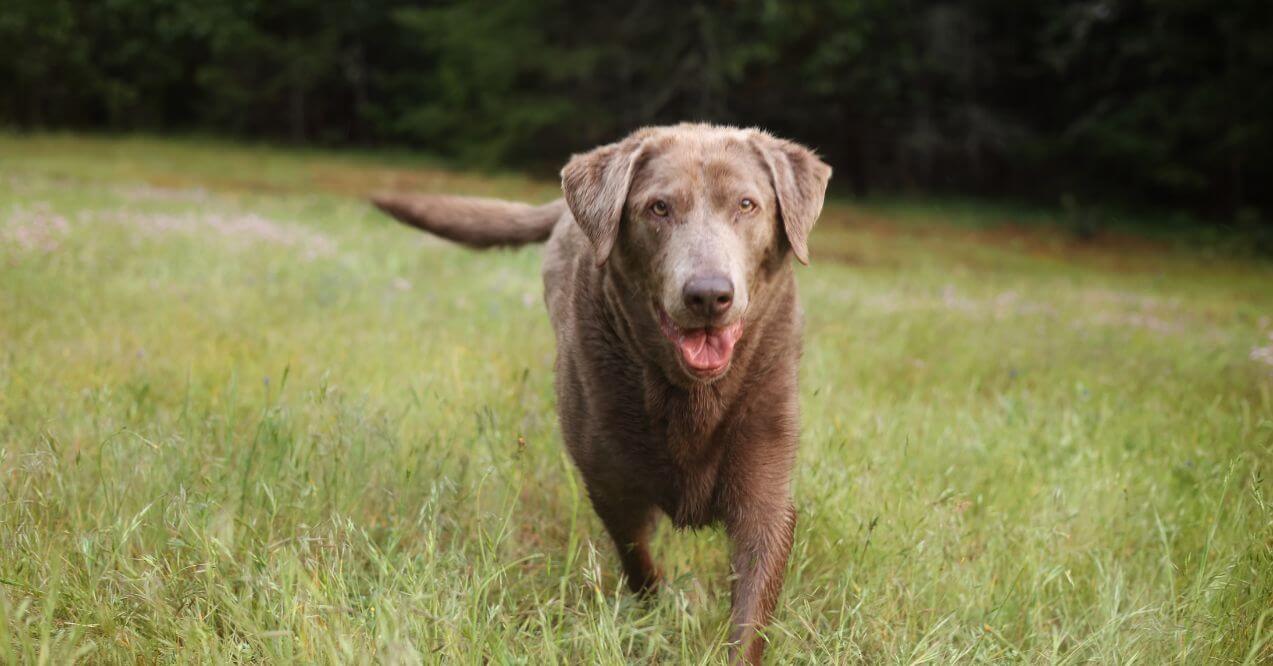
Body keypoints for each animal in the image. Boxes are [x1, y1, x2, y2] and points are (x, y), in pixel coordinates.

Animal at [374, 123, 835, 662]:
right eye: (659, 208)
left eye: (746, 204)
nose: (708, 294)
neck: (689, 397)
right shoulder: (609, 482)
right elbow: (638, 557)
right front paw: (655, 617)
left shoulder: (765, 492)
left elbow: (750, 613)